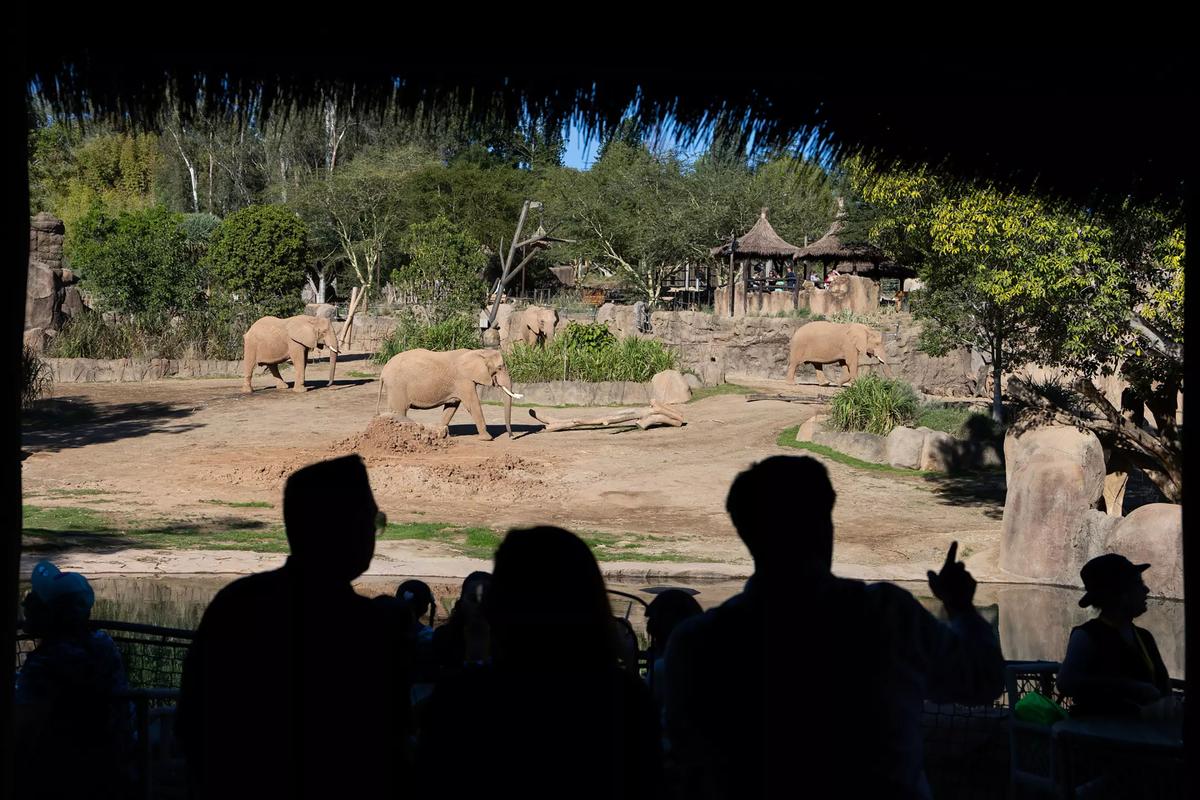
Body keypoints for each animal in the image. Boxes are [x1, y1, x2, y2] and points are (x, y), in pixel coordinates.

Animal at [377, 348, 522, 440]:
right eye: (499, 368)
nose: (512, 437)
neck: (478, 352)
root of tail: (383, 371)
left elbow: (452, 406)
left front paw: (441, 434)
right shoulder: (463, 380)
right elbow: (473, 404)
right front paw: (487, 438)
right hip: (397, 386)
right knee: (399, 410)